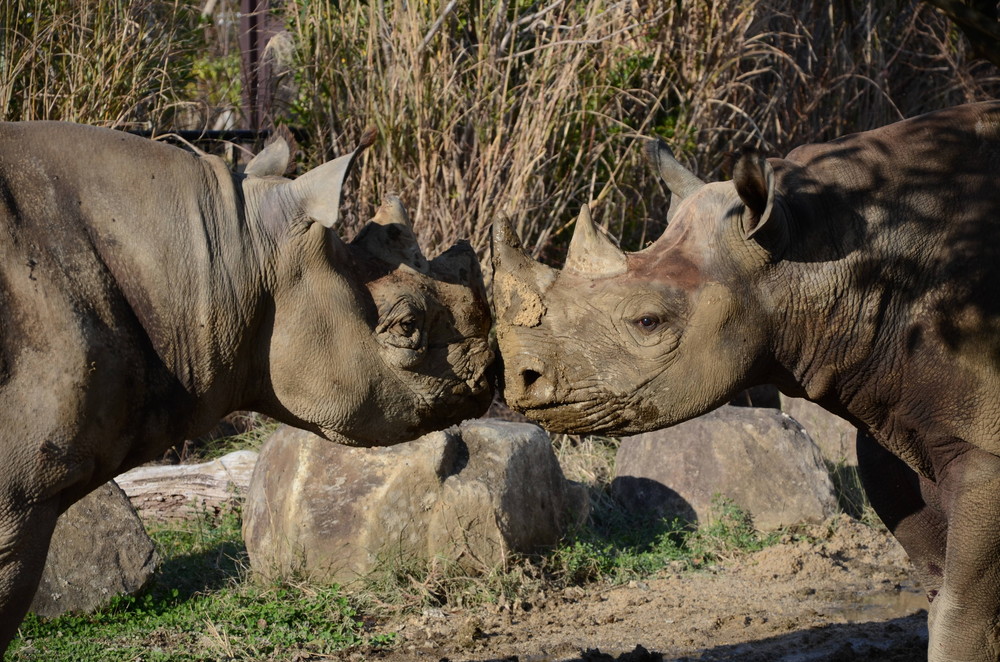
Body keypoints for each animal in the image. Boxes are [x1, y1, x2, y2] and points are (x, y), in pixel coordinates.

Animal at [496, 104, 1000, 662]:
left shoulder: (985, 444)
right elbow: (936, 585)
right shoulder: (897, 418)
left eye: (648, 323)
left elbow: (963, 608)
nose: (519, 381)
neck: (817, 247)